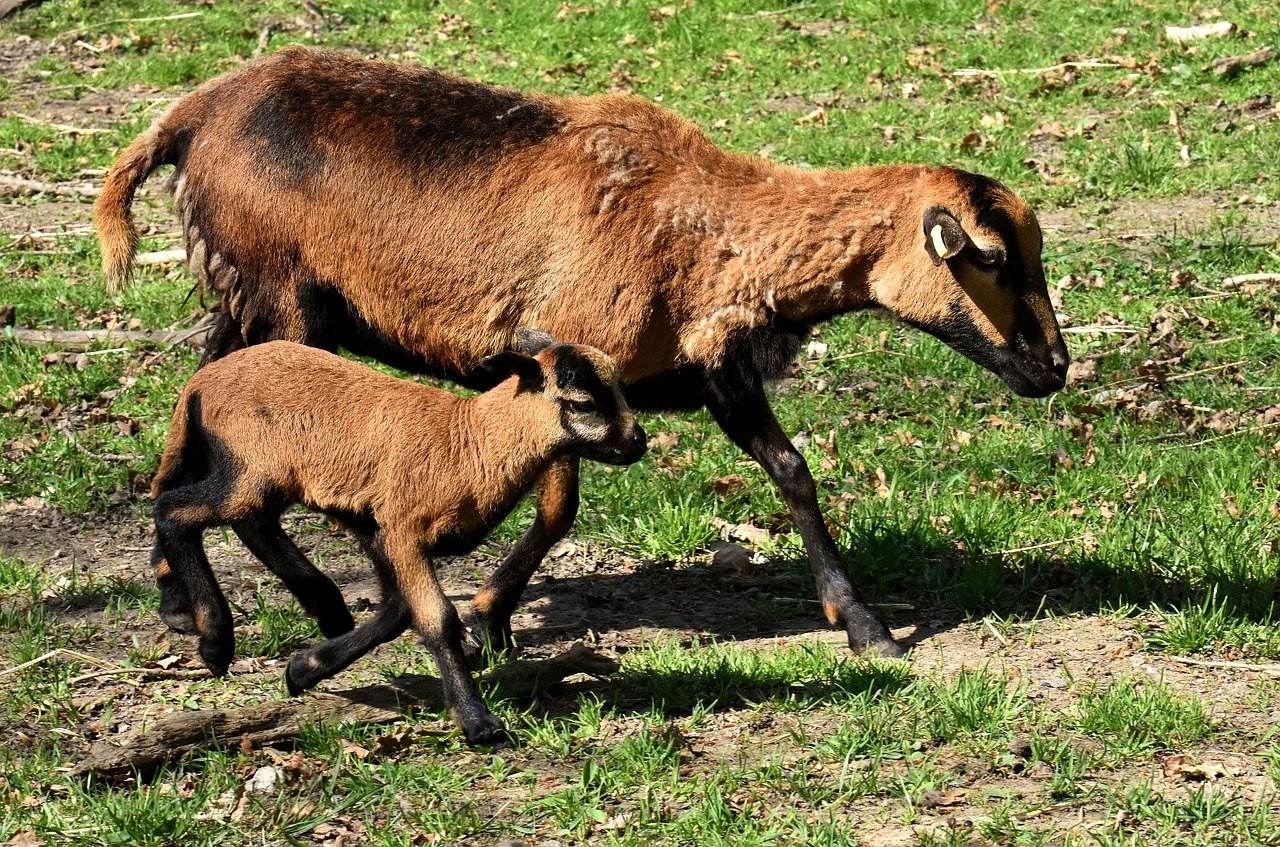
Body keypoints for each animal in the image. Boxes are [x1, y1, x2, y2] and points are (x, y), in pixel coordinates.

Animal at [94, 46, 1064, 660]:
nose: (1055, 368)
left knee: (194, 412)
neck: (708, 228)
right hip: (282, 297)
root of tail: (189, 114)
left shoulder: (710, 368)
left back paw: (179, 600)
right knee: (254, 471)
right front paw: (489, 616)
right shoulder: (567, 365)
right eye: (995, 258)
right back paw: (300, 609)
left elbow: (791, 470)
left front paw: (863, 624)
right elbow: (559, 511)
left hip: (247, 303)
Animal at [151, 332, 650, 742]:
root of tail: (200, 383)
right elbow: (436, 618)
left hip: (263, 476)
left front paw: (304, 670)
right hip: (249, 467)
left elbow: (396, 612)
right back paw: (216, 642)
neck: (471, 441)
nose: (638, 443)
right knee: (174, 511)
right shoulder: (403, 529)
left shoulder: (380, 532)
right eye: (582, 404)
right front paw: (477, 722)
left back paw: (328, 610)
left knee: (251, 523)